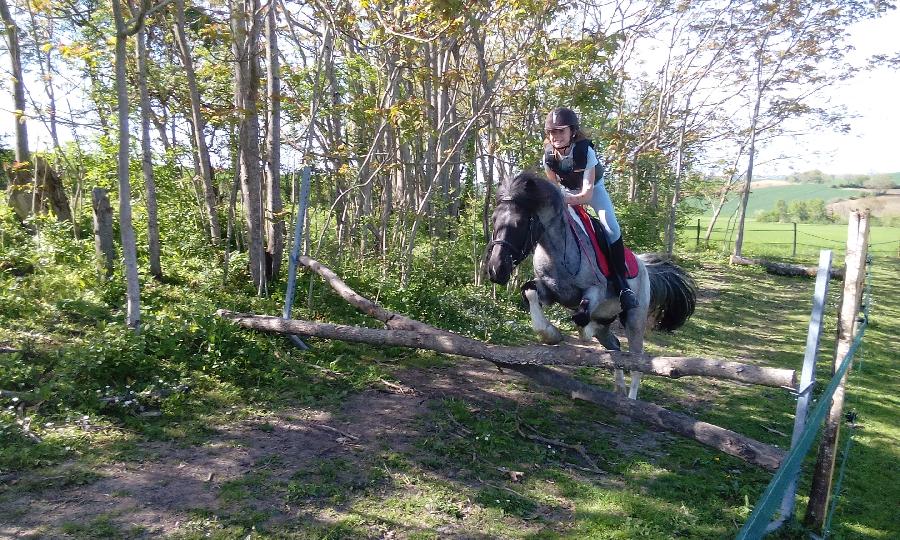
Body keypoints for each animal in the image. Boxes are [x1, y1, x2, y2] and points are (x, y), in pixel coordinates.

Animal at [486, 171, 696, 398]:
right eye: (494, 220)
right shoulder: (549, 291)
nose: (496, 269)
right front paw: (551, 334)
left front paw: (577, 330)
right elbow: (530, 292)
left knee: (636, 360)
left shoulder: (594, 291)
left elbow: (581, 319)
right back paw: (619, 389)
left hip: (634, 318)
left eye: (520, 223)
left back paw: (631, 399)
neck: (557, 250)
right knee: (614, 347)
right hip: (609, 317)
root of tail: (644, 265)